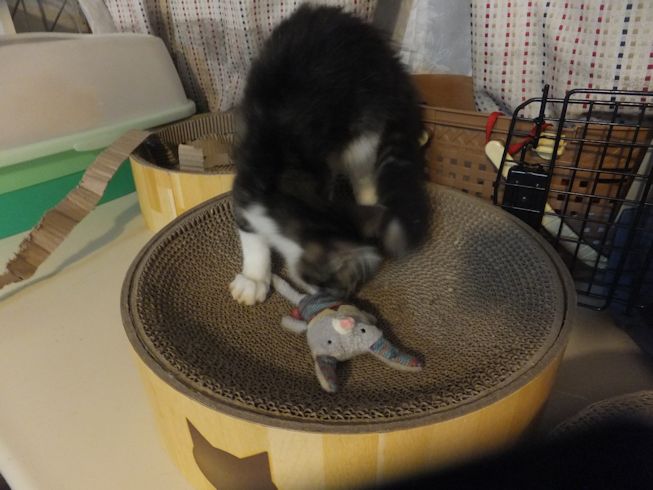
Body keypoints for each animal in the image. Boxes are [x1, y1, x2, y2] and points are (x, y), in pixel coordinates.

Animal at [230, 5, 430, 305]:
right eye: (347, 282)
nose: (347, 297)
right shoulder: (244, 183)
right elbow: (251, 235)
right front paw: (254, 277)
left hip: (365, 124)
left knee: (363, 171)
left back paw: (371, 199)